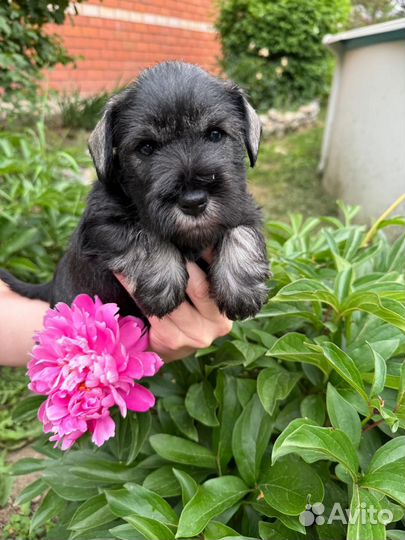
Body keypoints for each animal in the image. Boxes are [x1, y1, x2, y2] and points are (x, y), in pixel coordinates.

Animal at [2, 61, 272, 320]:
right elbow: (145, 235)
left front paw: (241, 290)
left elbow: (242, 231)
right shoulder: (102, 225)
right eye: (146, 147)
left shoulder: (242, 208)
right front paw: (162, 284)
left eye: (215, 134)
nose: (193, 202)